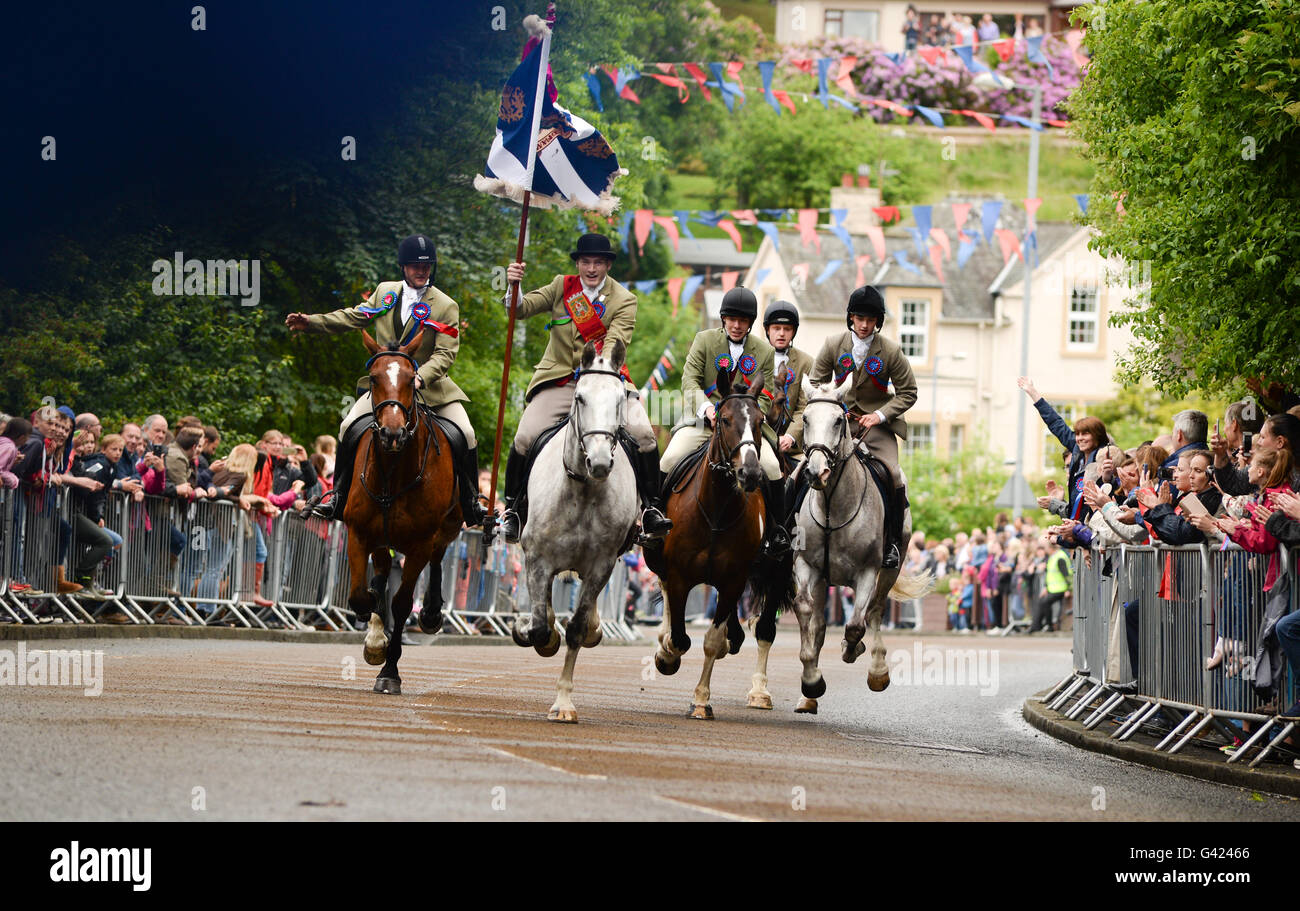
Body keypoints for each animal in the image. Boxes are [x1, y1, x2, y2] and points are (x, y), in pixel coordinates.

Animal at [348, 330, 465, 691]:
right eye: (373, 378)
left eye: (412, 380)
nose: (392, 433)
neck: (394, 469)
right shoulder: (358, 532)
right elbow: (361, 594)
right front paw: (375, 641)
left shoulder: (419, 545)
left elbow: (400, 604)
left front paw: (389, 672)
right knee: (384, 570)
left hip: (448, 526)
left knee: (439, 557)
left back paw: (430, 614)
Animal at [506, 337, 639, 722]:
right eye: (580, 397)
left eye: (620, 399)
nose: (600, 462)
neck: (583, 491)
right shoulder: (537, 561)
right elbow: (539, 625)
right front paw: (541, 636)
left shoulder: (600, 567)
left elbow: (577, 629)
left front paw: (563, 702)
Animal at [647, 369, 795, 717]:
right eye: (725, 419)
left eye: (758, 420)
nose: (750, 472)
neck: (717, 507)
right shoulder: (679, 576)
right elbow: (679, 638)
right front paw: (666, 656)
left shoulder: (733, 580)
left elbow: (712, 641)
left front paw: (701, 700)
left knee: (755, 631)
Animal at [748, 374, 930, 712]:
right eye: (806, 418)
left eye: (837, 421)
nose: (816, 471)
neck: (834, 505)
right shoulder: (806, 567)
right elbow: (808, 618)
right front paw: (811, 680)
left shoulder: (867, 572)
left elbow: (857, 624)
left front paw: (852, 650)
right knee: (820, 625)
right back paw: (808, 695)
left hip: (890, 570)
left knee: (874, 612)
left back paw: (877, 670)